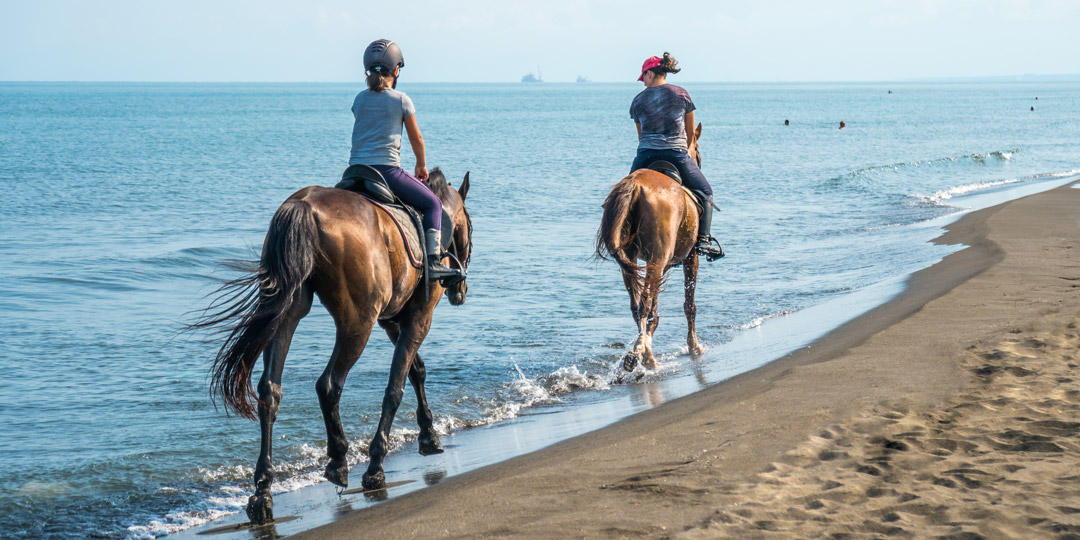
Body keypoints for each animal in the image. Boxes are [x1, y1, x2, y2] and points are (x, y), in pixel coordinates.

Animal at [192, 167, 470, 522]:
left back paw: (263, 492)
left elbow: (415, 371)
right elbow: (396, 387)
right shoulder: (418, 317)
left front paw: (428, 434)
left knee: (270, 391)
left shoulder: (393, 321)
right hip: (357, 322)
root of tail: (304, 207)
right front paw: (378, 462)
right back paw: (340, 461)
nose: (460, 290)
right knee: (329, 384)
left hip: (288, 307)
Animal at [596, 124, 704, 373]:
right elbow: (689, 305)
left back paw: (641, 353)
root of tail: (634, 185)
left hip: (632, 262)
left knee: (637, 306)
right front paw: (694, 346)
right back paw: (640, 354)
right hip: (657, 259)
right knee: (644, 305)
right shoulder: (691, 257)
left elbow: (655, 311)